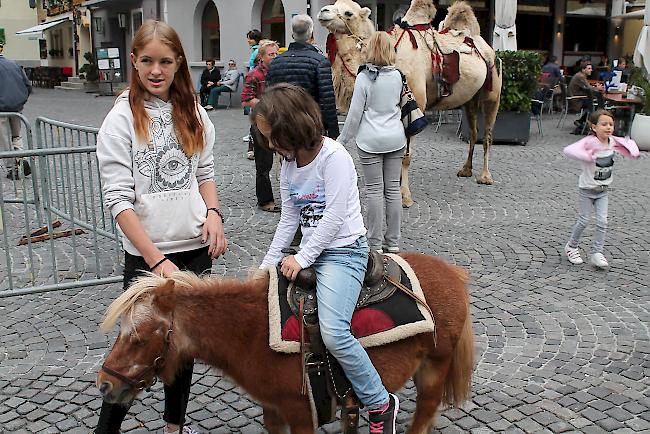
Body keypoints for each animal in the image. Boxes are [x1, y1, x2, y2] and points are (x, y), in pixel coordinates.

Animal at [96, 253, 470, 432]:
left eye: (139, 338)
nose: (104, 384)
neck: (252, 330)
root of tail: (453, 274)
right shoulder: (273, 411)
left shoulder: (301, 414)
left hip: (434, 369)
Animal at [318, 0, 502, 207]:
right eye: (333, 4)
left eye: (348, 13)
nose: (323, 11)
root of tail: (485, 45)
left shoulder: (415, 107)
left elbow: (405, 156)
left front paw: (404, 196)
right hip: (470, 98)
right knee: (473, 133)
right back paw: (466, 169)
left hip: (492, 91)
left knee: (487, 135)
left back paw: (485, 176)